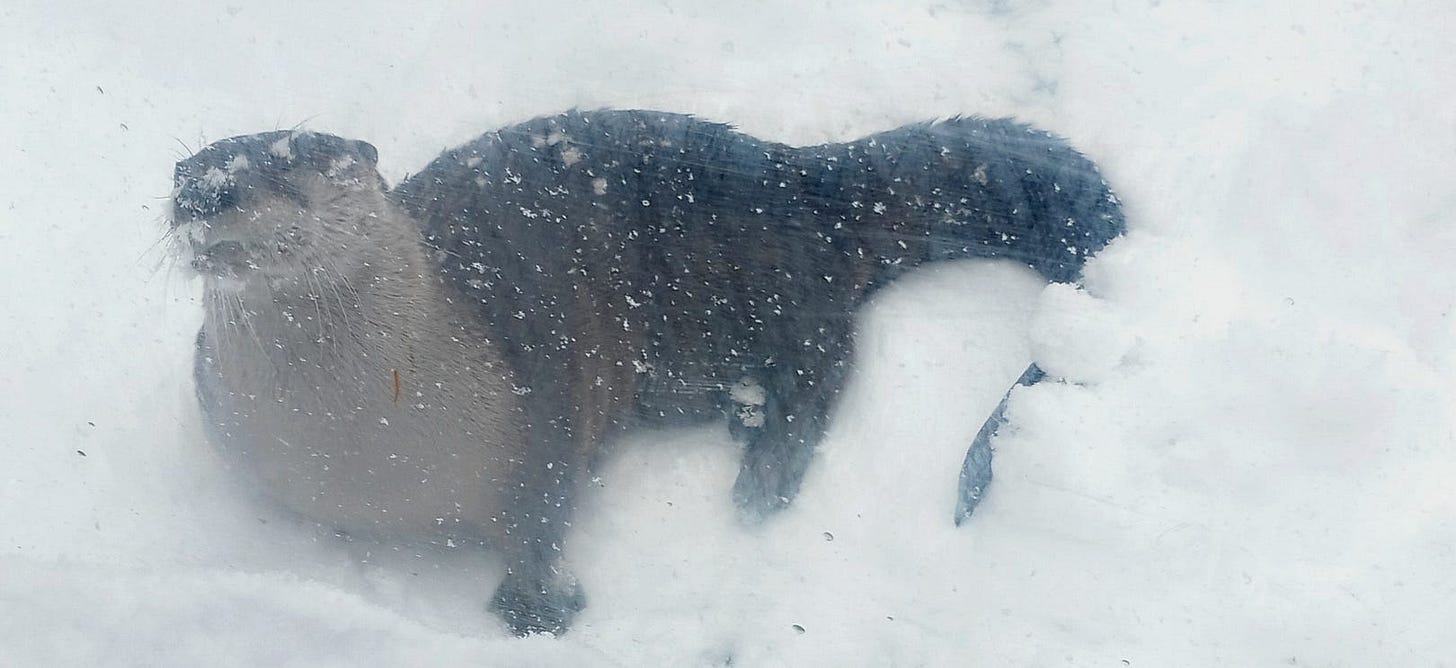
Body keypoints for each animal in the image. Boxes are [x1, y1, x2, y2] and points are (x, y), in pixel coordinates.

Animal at [169, 109, 1124, 636]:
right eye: (183, 168)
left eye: (287, 162)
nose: (201, 192)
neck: (362, 434)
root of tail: (798, 177)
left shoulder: (537, 417)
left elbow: (542, 517)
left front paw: (537, 607)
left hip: (746, 286)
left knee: (825, 356)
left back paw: (763, 477)